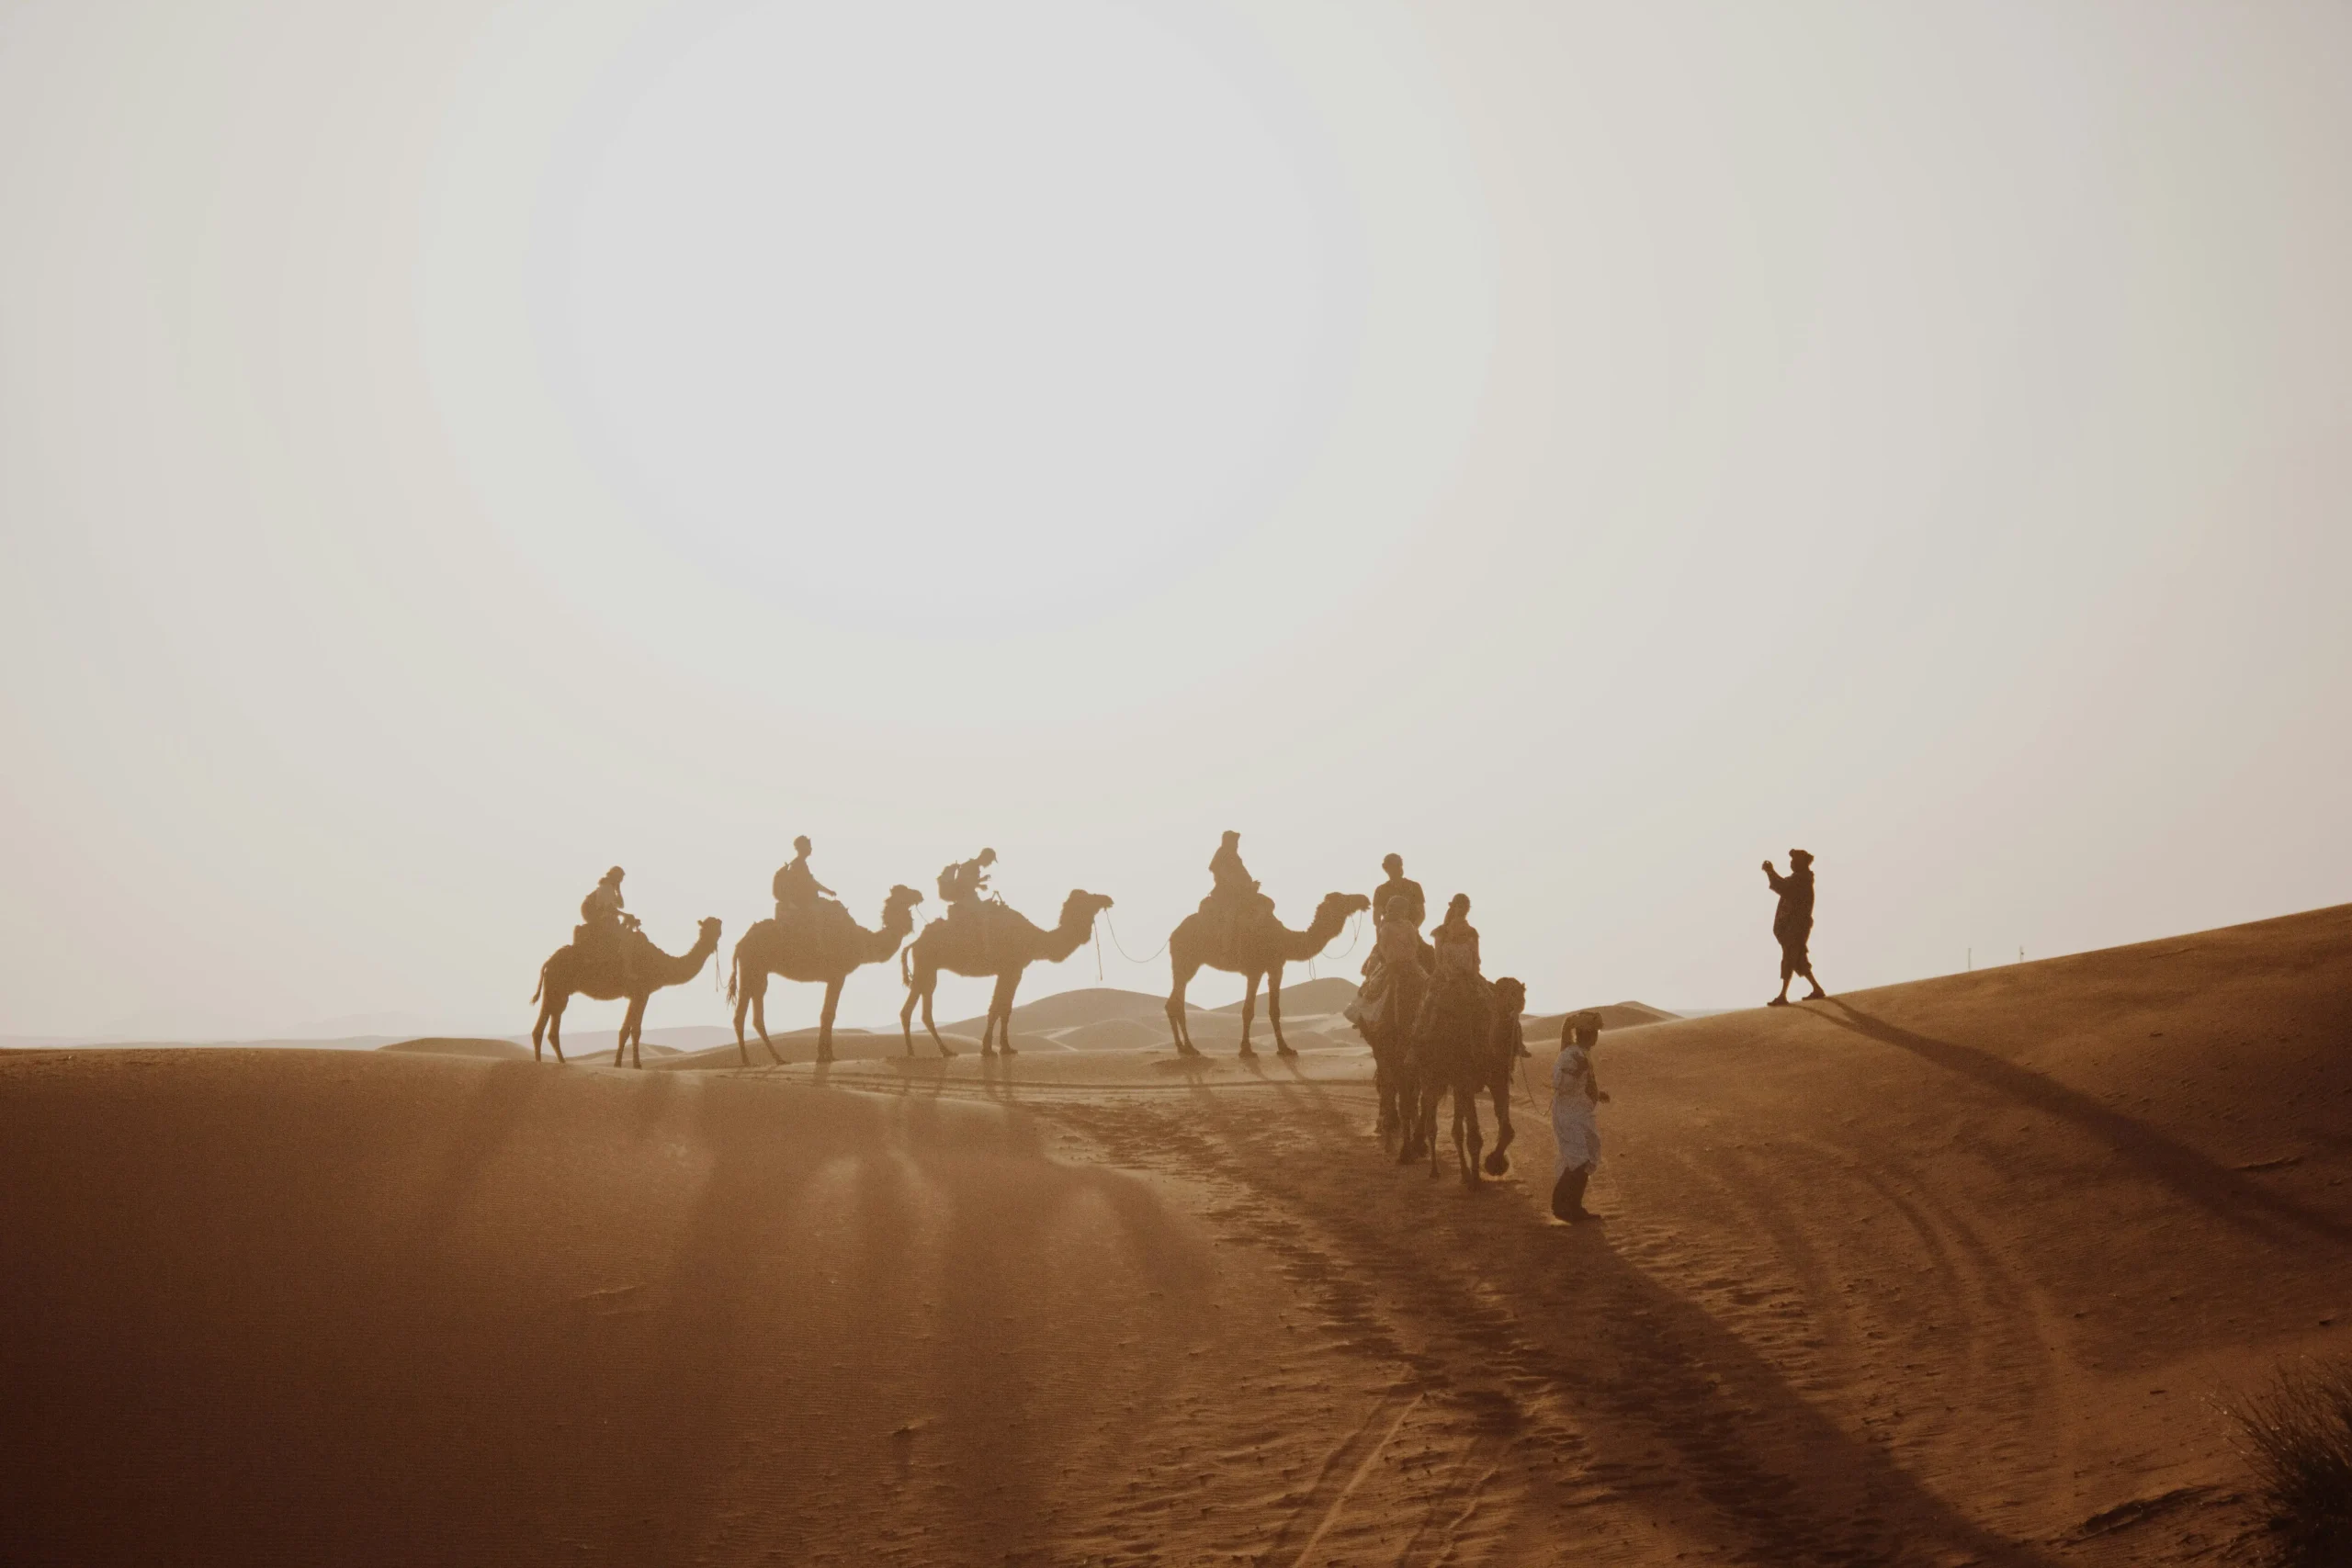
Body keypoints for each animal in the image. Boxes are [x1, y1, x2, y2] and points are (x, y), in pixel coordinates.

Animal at [530, 917, 723, 1069]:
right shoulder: (642, 992)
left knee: (550, 1026)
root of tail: (547, 963)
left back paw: (558, 1062)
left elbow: (626, 1029)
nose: (713, 940)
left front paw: (620, 1063)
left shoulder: (636, 995)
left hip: (560, 992)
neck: (660, 964)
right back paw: (543, 1063)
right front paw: (635, 1064)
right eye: (709, 928)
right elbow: (635, 1030)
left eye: (718, 929)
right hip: (556, 987)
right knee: (543, 1027)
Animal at [728, 885, 924, 1066]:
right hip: (751, 967)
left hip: (758, 972)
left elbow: (826, 1013)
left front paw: (825, 1055)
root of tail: (740, 944)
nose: (919, 895)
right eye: (904, 893)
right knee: (742, 1015)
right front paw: (826, 1056)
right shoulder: (838, 975)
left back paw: (776, 1058)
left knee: (755, 1015)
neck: (863, 942)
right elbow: (829, 1014)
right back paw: (748, 1061)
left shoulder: (833, 977)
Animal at [899, 890, 1115, 1058]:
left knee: (919, 1010)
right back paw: (922, 1052)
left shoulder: (1011, 970)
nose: (1108, 899)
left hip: (928, 969)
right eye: (1088, 897)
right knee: (915, 1010)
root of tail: (914, 944)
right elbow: (997, 1008)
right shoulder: (1011, 968)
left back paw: (934, 1051)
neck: (1035, 940)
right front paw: (988, 1049)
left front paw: (1006, 1048)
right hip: (926, 966)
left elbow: (1005, 1009)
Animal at [1164, 891, 1370, 1058]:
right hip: (1187, 962)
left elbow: (1274, 1010)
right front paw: (1246, 1050)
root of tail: (1173, 934)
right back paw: (1189, 1047)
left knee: (1173, 1002)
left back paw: (1183, 1047)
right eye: (1342, 899)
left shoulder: (1276, 967)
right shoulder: (1255, 970)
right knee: (1176, 1002)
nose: (1364, 899)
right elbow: (1248, 1010)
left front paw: (1285, 1048)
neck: (1285, 939)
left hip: (1184, 965)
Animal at [1411, 976, 1526, 1188]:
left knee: (1456, 1129)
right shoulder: (1465, 1080)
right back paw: (1435, 1170)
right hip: (1431, 1077)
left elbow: (1507, 1131)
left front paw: (1495, 1164)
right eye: (1503, 992)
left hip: (1454, 1085)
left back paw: (1464, 1173)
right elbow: (1474, 1137)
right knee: (1432, 1121)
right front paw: (1478, 1180)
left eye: (1521, 992)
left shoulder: (1498, 1079)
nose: (1517, 1003)